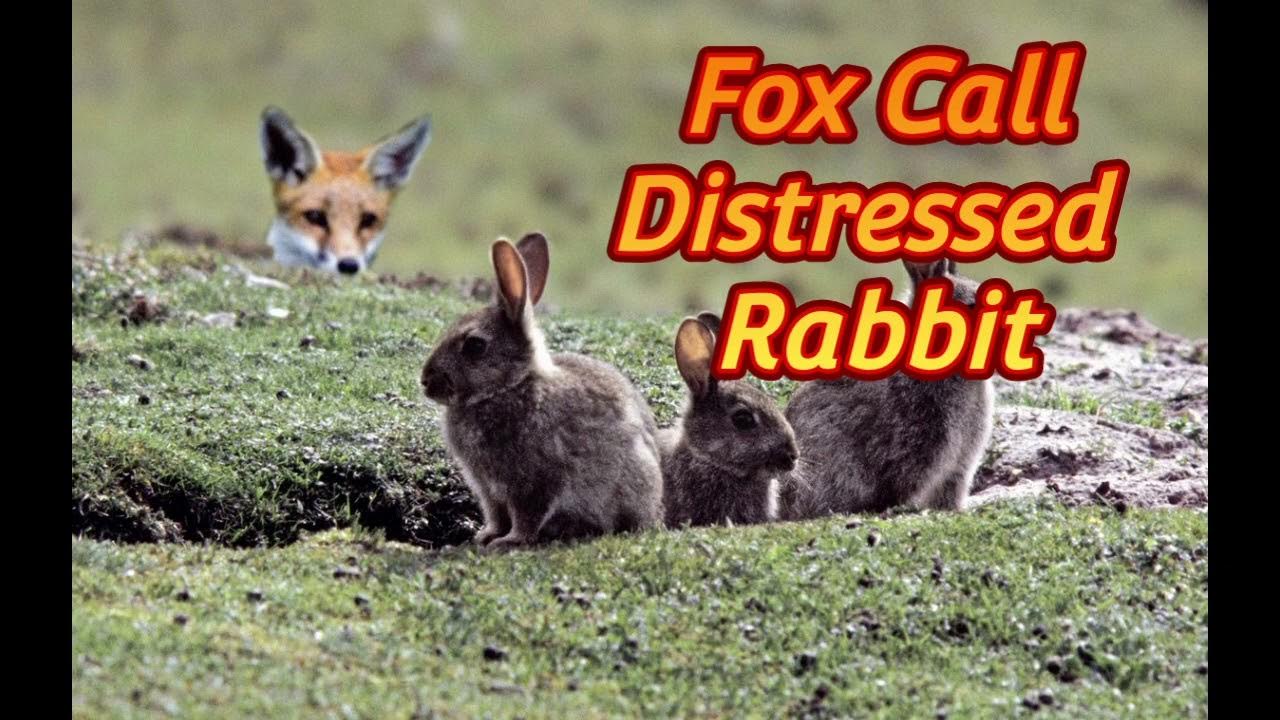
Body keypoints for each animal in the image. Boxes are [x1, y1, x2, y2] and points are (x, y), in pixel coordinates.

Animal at [420, 232, 664, 549]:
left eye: (474, 345)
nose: (425, 381)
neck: (508, 387)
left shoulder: (534, 481)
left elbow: (527, 515)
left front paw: (508, 541)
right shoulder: (488, 489)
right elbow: (496, 514)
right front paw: (485, 536)